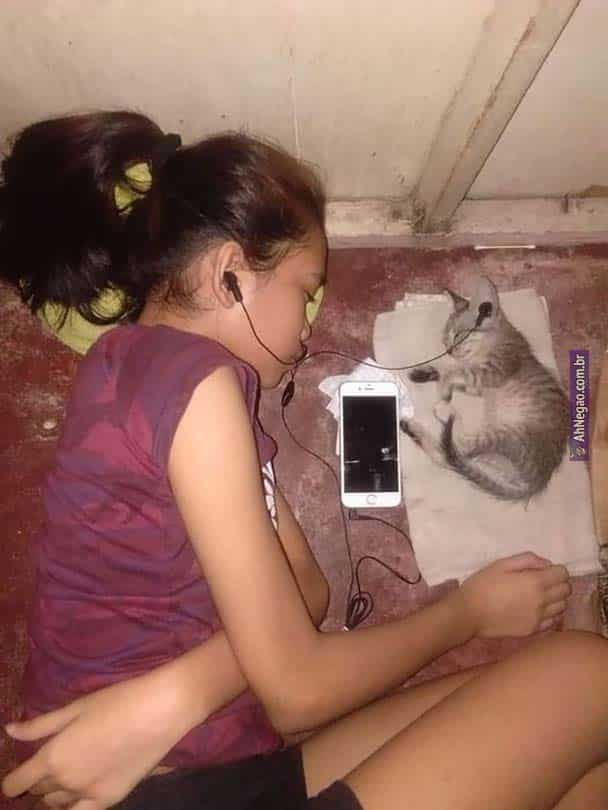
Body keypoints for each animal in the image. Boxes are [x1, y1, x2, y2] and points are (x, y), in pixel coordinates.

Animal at [400, 277, 569, 502]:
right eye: (445, 339)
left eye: (458, 335)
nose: (449, 350)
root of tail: (538, 481)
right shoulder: (479, 385)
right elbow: (454, 372)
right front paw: (428, 373)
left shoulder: (494, 371)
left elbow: (454, 371)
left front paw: (443, 389)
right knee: (452, 456)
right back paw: (413, 427)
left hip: (505, 436)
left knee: (455, 448)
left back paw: (443, 411)